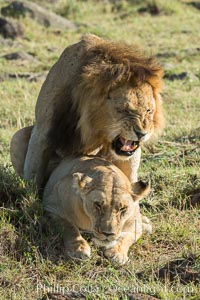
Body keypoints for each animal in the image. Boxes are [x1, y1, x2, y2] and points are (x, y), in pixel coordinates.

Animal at [10, 34, 163, 186]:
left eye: (149, 111)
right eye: (123, 110)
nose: (142, 134)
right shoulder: (43, 130)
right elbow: (33, 171)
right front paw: (31, 192)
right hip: (17, 137)